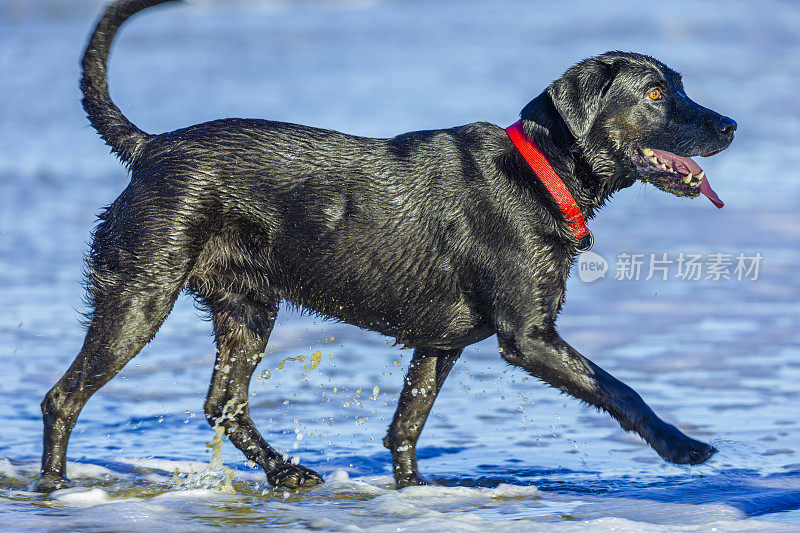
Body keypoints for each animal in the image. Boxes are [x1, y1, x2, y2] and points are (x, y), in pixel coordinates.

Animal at [37, 0, 736, 490]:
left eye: (681, 85)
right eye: (656, 94)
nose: (730, 125)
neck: (540, 170)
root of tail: (151, 148)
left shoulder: (439, 344)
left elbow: (405, 426)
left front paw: (414, 490)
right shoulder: (529, 337)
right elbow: (619, 390)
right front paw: (684, 446)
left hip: (248, 308)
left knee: (224, 404)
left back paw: (284, 472)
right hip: (141, 294)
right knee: (62, 397)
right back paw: (55, 485)